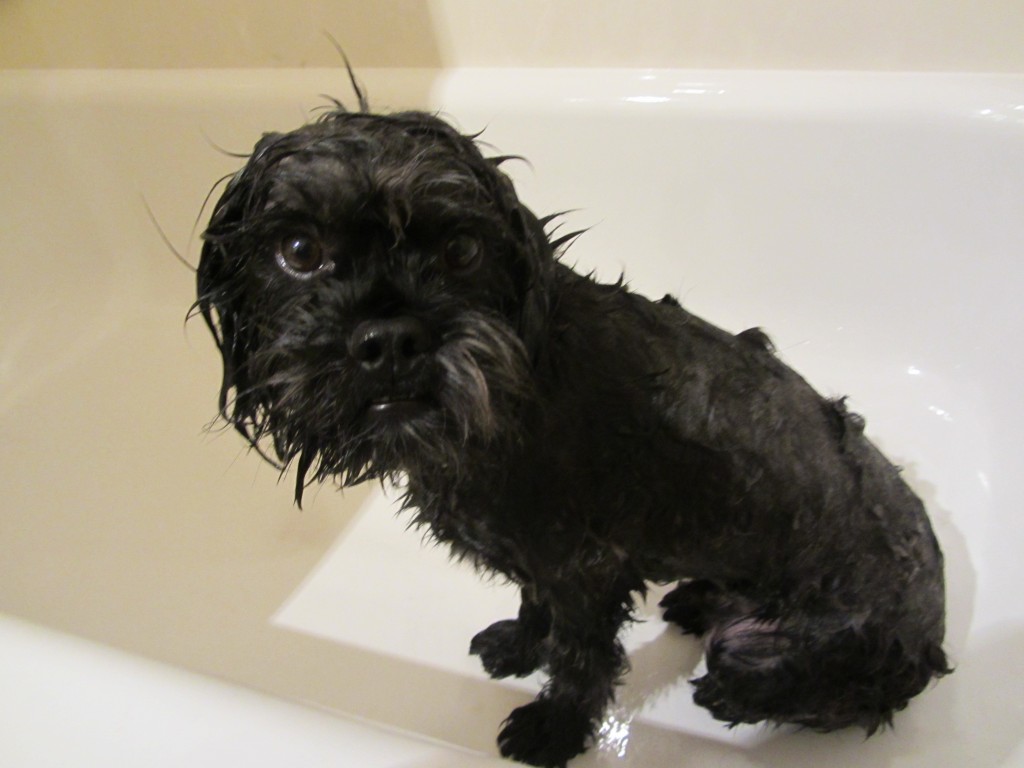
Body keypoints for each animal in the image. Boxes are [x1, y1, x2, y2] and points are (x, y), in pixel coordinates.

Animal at [195, 93, 946, 765]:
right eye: (299, 249)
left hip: (781, 656)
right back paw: (696, 599)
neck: (511, 401)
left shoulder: (588, 568)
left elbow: (580, 659)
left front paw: (553, 728)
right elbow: (535, 604)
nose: (389, 339)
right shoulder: (544, 553)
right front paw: (520, 646)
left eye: (462, 248)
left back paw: (722, 684)